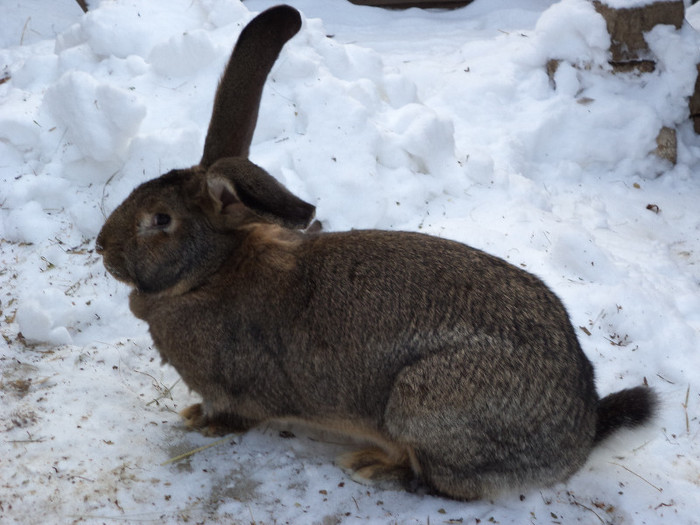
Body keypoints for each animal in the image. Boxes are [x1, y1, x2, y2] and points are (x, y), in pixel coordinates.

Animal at [95, 5, 660, 504]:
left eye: (160, 220)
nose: (102, 247)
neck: (210, 272)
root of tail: (577, 436)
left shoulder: (241, 387)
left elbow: (236, 415)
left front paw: (201, 422)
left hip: (425, 401)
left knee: (447, 483)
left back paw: (373, 466)